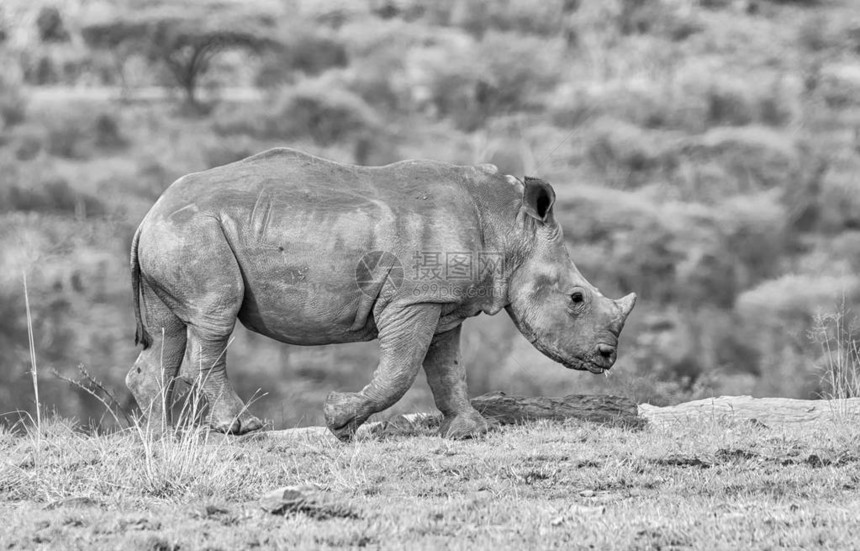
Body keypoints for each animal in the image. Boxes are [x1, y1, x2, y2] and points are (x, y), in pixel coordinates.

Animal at [129, 149, 640, 442]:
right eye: (576, 298)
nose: (608, 356)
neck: (509, 227)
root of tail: (149, 214)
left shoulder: (441, 301)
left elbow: (447, 368)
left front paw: (472, 430)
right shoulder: (413, 298)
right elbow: (401, 370)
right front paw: (339, 421)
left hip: (178, 233)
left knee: (169, 330)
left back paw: (159, 440)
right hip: (195, 231)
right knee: (214, 318)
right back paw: (241, 429)